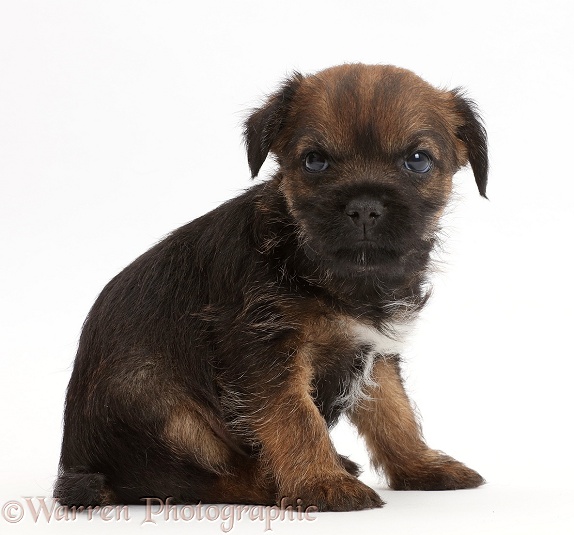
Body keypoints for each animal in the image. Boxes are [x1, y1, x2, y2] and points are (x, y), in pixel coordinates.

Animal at [55, 65, 490, 512]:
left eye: (417, 161)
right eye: (314, 161)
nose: (365, 206)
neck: (336, 275)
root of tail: (82, 468)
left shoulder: (376, 354)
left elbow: (394, 414)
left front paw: (421, 465)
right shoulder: (266, 354)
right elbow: (297, 420)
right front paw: (322, 483)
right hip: (160, 406)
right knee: (202, 478)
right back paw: (277, 482)